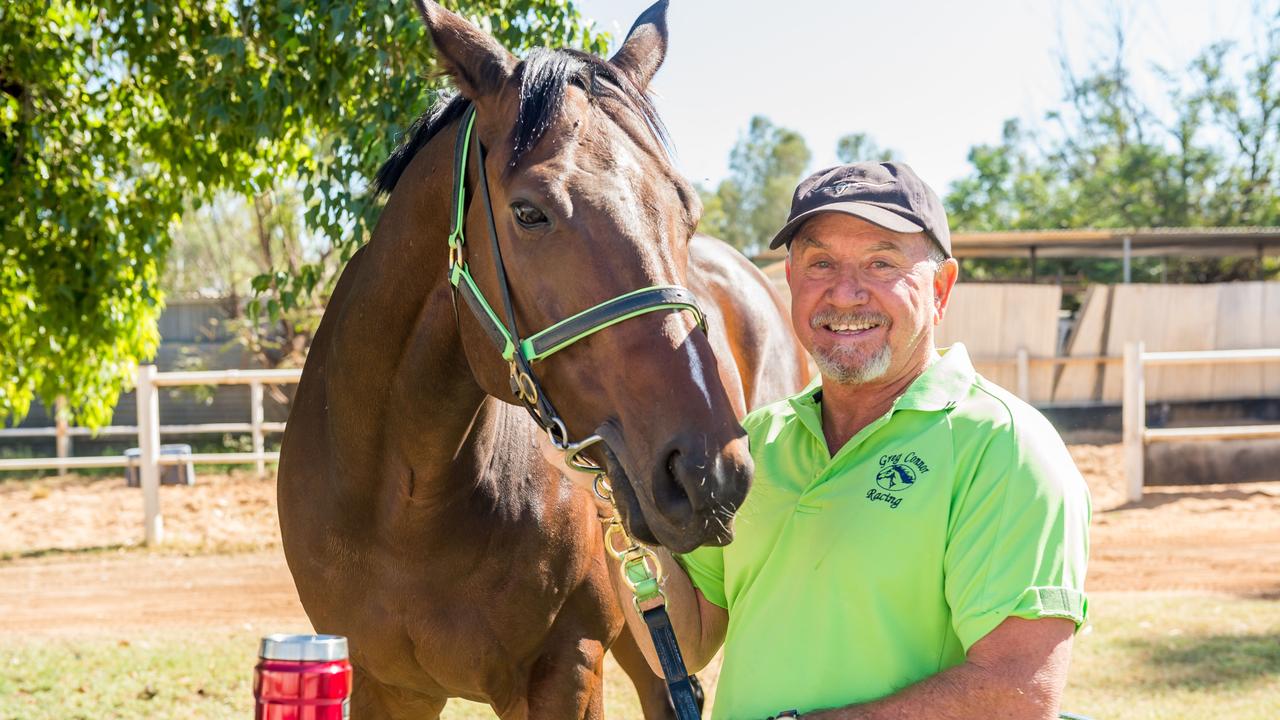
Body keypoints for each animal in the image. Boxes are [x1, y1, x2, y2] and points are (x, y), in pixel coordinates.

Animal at [277, 2, 808, 712]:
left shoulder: (568, 666)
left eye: (685, 208)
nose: (707, 471)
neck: (406, 505)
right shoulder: (380, 683)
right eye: (529, 212)